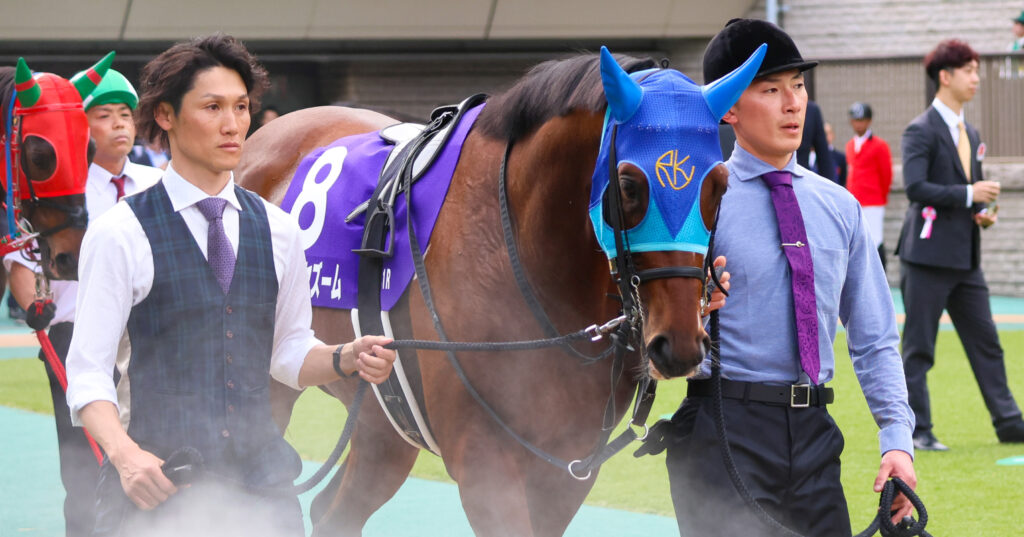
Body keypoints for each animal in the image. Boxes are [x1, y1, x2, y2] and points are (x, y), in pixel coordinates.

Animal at [238, 45, 765, 536]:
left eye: (719, 186)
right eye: (629, 186)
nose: (679, 345)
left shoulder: (566, 468)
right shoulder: (484, 461)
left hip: (381, 412)